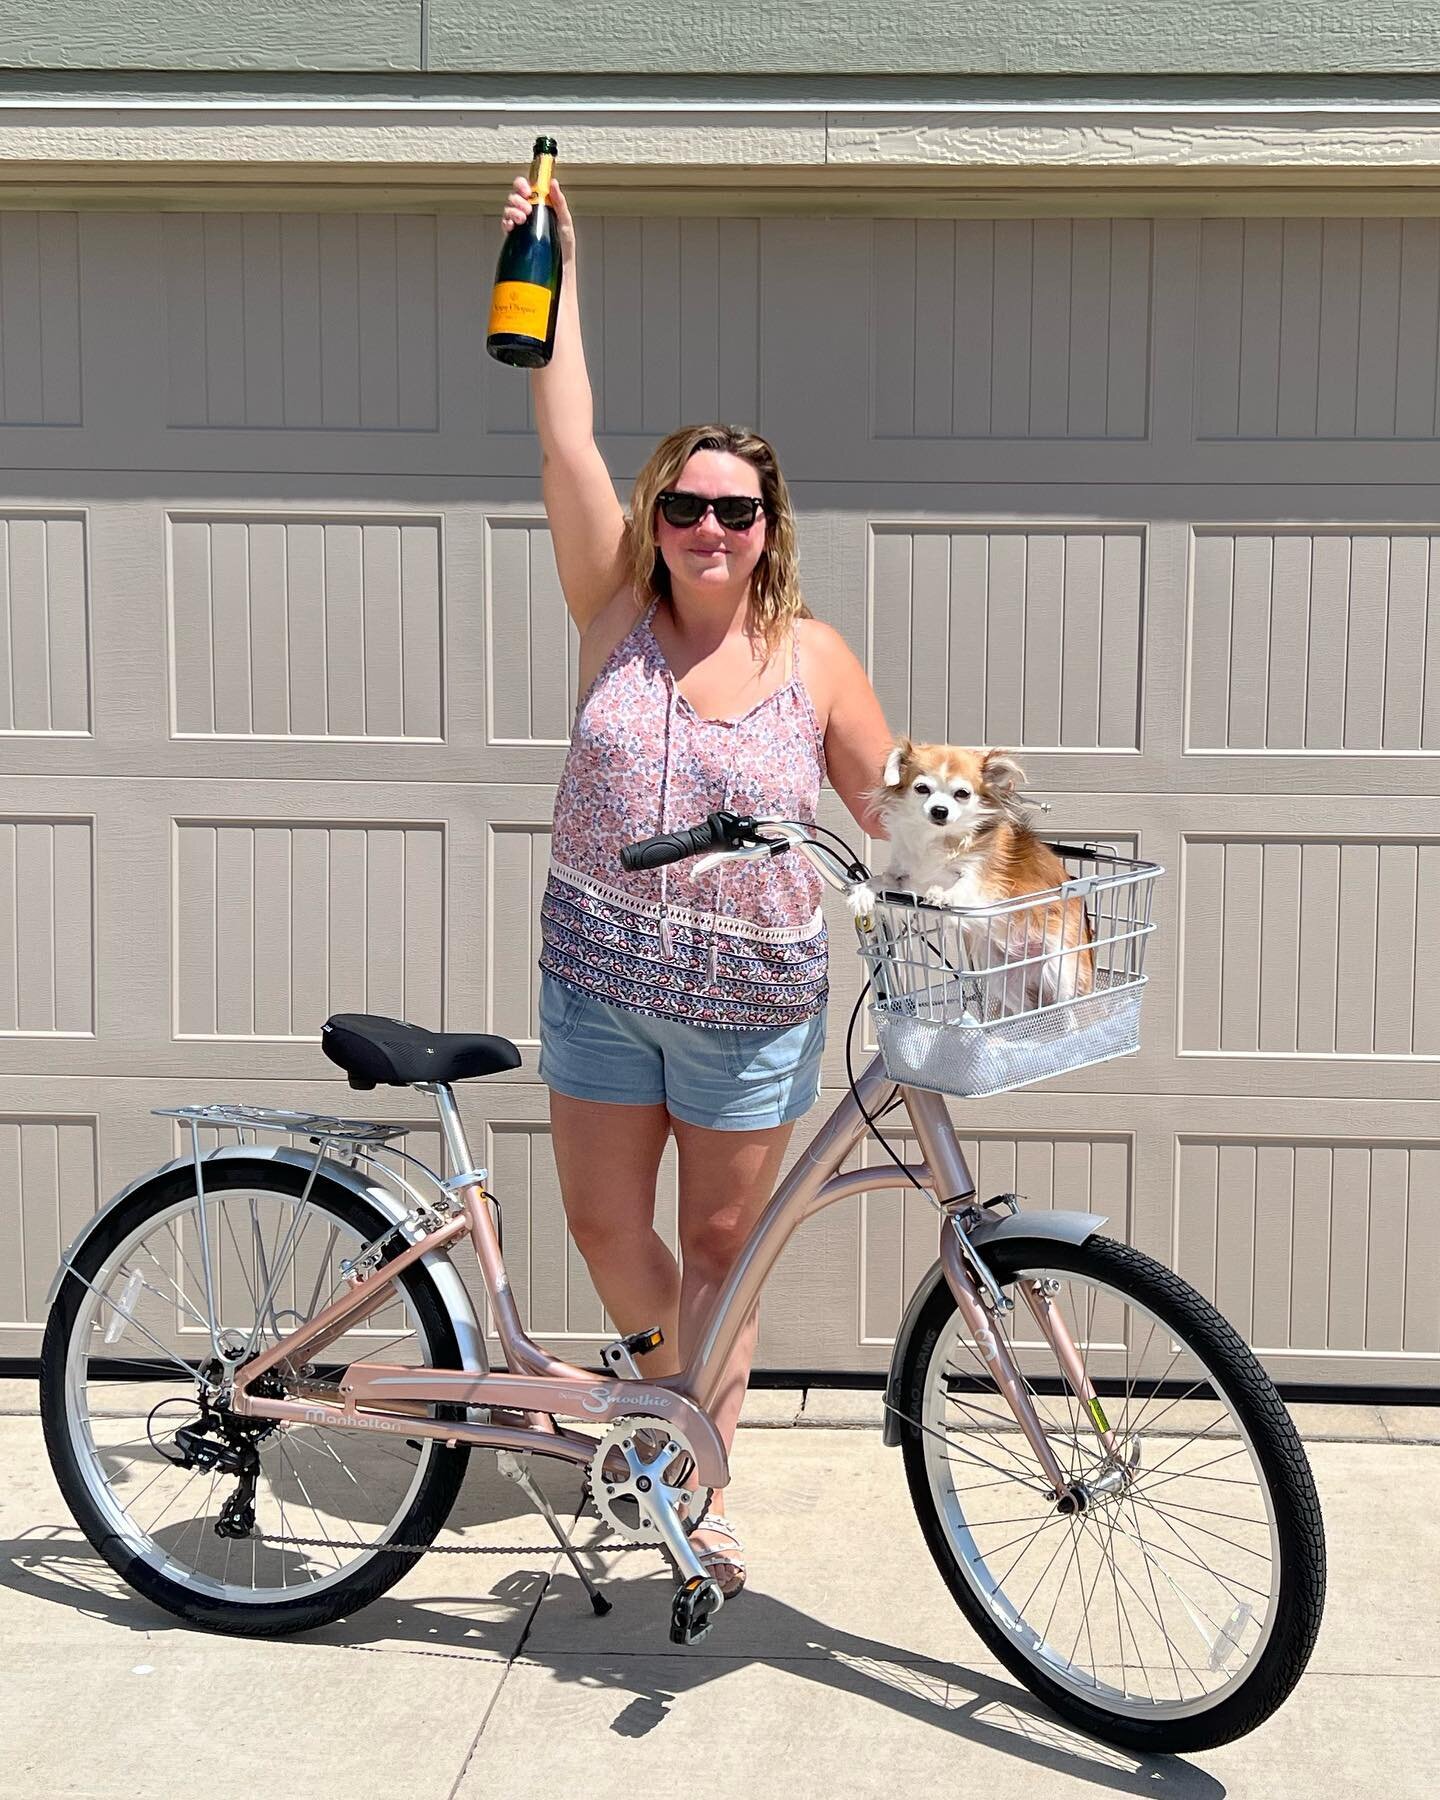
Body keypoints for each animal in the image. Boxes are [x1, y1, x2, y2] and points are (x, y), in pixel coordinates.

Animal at [856, 730, 1094, 1015]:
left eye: (962, 793)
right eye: (922, 788)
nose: (940, 810)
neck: (937, 839)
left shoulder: (986, 880)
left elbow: (964, 886)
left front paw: (943, 895)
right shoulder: (909, 879)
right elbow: (886, 880)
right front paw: (862, 891)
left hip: (1061, 971)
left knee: (1068, 1011)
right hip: (1003, 980)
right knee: (1026, 1013)